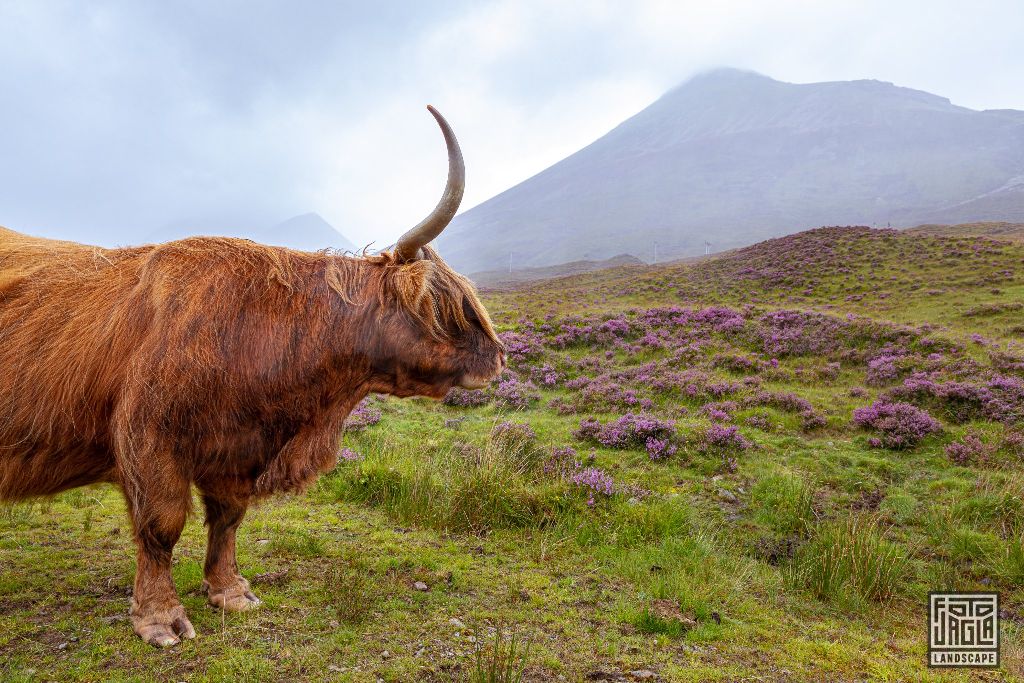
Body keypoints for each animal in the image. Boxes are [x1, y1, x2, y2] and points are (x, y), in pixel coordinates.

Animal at [0, 107, 503, 647]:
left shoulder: (237, 446)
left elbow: (227, 519)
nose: (498, 358)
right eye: (447, 309)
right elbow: (162, 525)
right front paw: (160, 617)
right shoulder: (149, 439)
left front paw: (230, 591)